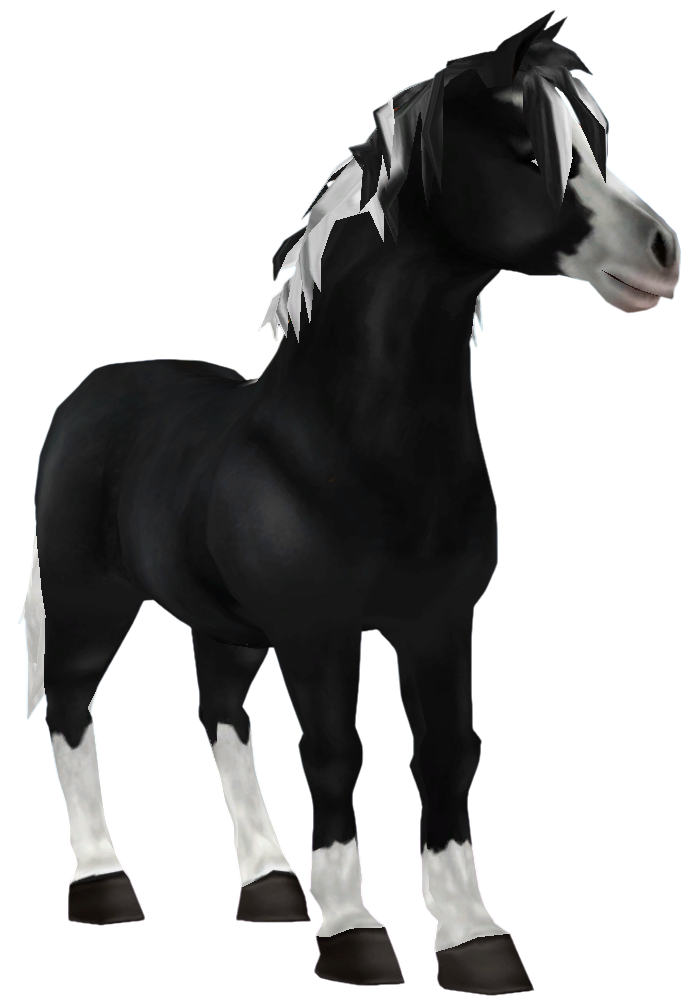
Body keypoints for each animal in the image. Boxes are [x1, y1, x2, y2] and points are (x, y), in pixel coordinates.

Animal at [20, 13, 680, 992]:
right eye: (528, 154)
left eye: (594, 144)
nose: (664, 255)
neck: (351, 444)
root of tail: (86, 395)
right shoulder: (318, 628)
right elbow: (334, 755)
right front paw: (354, 932)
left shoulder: (437, 621)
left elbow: (445, 756)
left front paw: (472, 935)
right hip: (89, 599)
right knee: (71, 708)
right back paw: (105, 884)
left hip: (224, 623)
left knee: (221, 715)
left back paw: (268, 885)